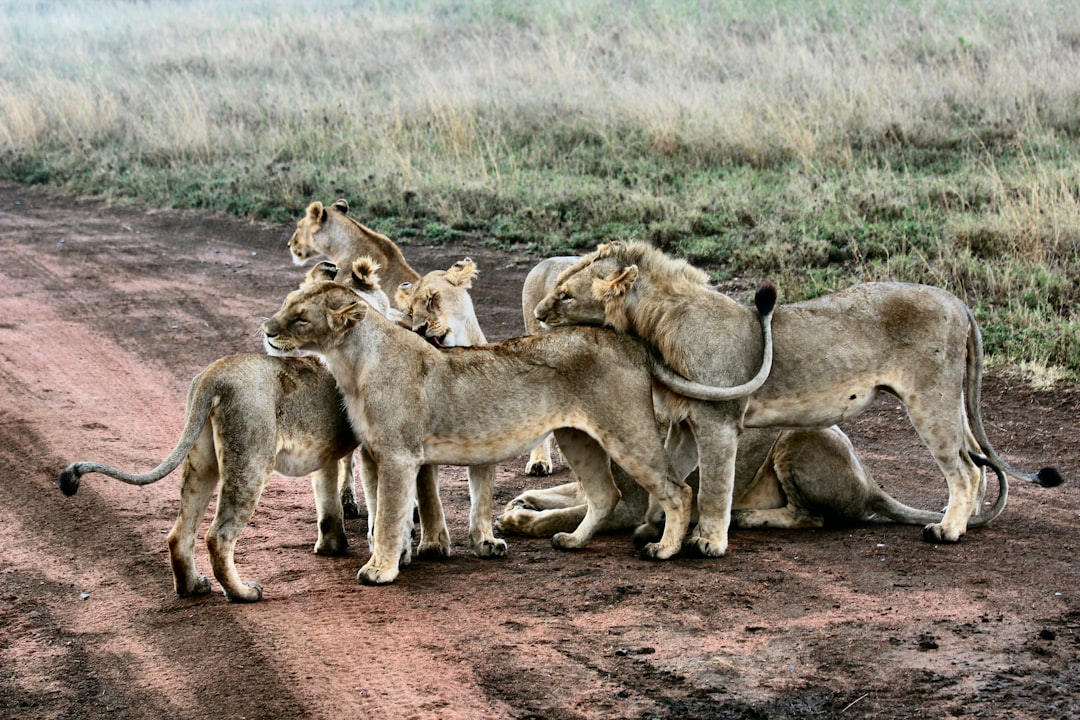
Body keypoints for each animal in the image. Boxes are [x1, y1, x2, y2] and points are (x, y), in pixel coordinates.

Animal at [265, 280, 695, 587]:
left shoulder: (398, 455)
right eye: (286, 304)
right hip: (579, 437)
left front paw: (381, 570)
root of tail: (629, 340)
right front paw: (399, 555)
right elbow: (385, 513)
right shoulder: (374, 455)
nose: (266, 329)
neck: (352, 362)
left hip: (627, 431)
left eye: (301, 318)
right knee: (606, 495)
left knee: (678, 489)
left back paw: (664, 549)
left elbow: (388, 515)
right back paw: (572, 540)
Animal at [535, 241, 1058, 557]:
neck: (654, 324)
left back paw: (949, 531)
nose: (538, 314)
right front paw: (660, 530)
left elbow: (713, 487)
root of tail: (957, 301)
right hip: (948, 402)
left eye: (565, 296)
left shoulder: (718, 421)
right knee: (978, 466)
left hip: (930, 400)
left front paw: (708, 542)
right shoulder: (686, 423)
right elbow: (675, 479)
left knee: (965, 470)